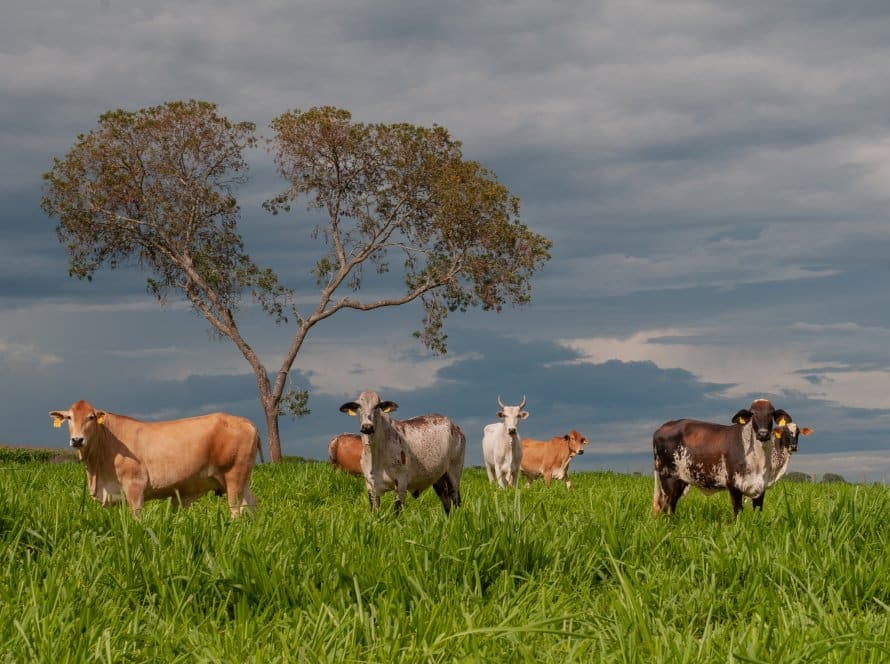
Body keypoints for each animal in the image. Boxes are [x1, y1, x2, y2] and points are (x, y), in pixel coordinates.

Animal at [48, 400, 258, 520]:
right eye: (69, 417)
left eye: (91, 417)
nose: (77, 440)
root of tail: (246, 421)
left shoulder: (135, 486)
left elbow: (136, 518)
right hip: (243, 479)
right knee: (252, 506)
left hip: (233, 476)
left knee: (236, 511)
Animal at [644, 396, 804, 516]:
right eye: (752, 413)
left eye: (771, 413)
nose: (763, 434)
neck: (759, 460)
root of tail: (662, 428)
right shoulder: (734, 486)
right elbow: (737, 512)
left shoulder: (761, 489)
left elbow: (758, 513)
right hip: (668, 479)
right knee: (666, 505)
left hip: (681, 480)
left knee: (670, 506)